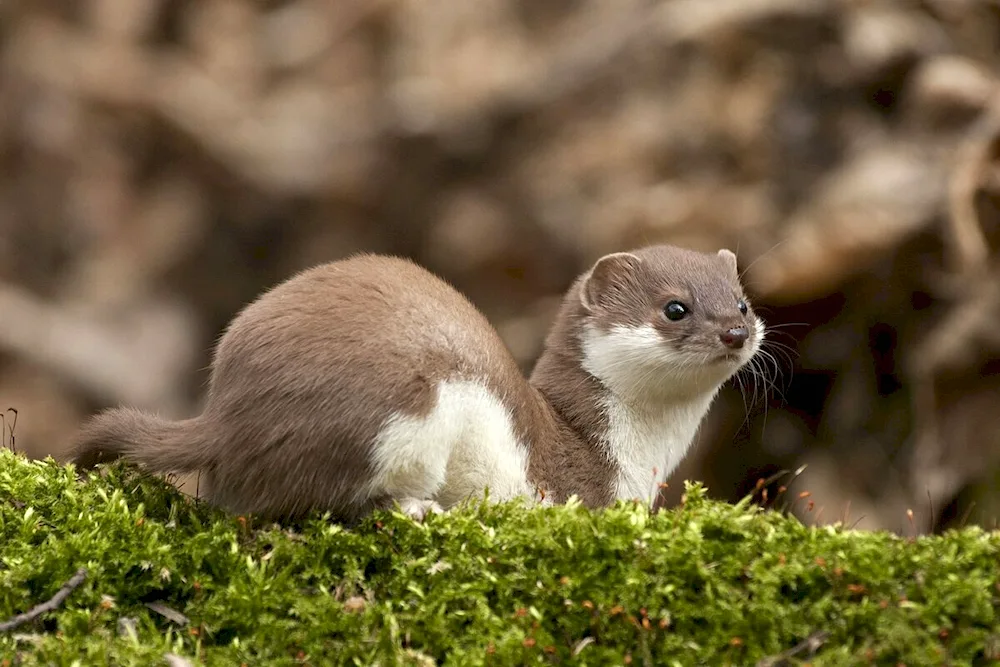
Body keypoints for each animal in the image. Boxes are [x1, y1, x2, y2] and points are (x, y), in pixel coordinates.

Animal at [72, 244, 764, 520]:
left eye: (742, 301)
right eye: (675, 307)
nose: (735, 332)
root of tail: (224, 413)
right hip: (405, 407)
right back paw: (415, 506)